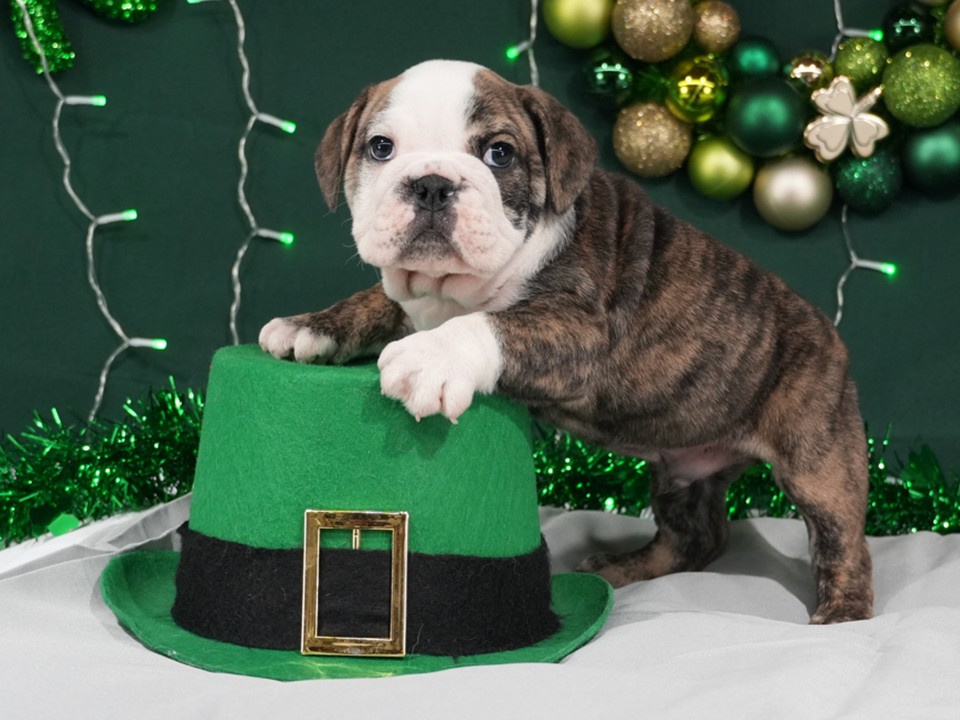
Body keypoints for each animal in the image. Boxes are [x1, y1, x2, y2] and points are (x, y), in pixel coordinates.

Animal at [259, 59, 873, 624]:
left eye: (500, 154)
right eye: (381, 148)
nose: (432, 183)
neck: (453, 288)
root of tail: (831, 336)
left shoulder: (577, 331)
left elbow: (491, 324)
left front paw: (430, 358)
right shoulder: (414, 301)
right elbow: (376, 300)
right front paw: (310, 325)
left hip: (817, 460)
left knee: (842, 538)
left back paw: (842, 614)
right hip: (683, 473)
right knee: (694, 537)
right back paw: (625, 568)